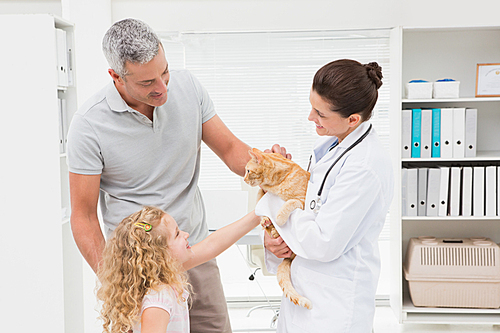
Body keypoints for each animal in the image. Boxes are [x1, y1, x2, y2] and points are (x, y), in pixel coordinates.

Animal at [243, 148, 312, 308]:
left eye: (248, 171)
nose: (244, 179)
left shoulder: (302, 201)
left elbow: (289, 203)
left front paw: (279, 217)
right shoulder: (262, 192)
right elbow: (259, 198)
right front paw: (265, 220)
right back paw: (270, 226)